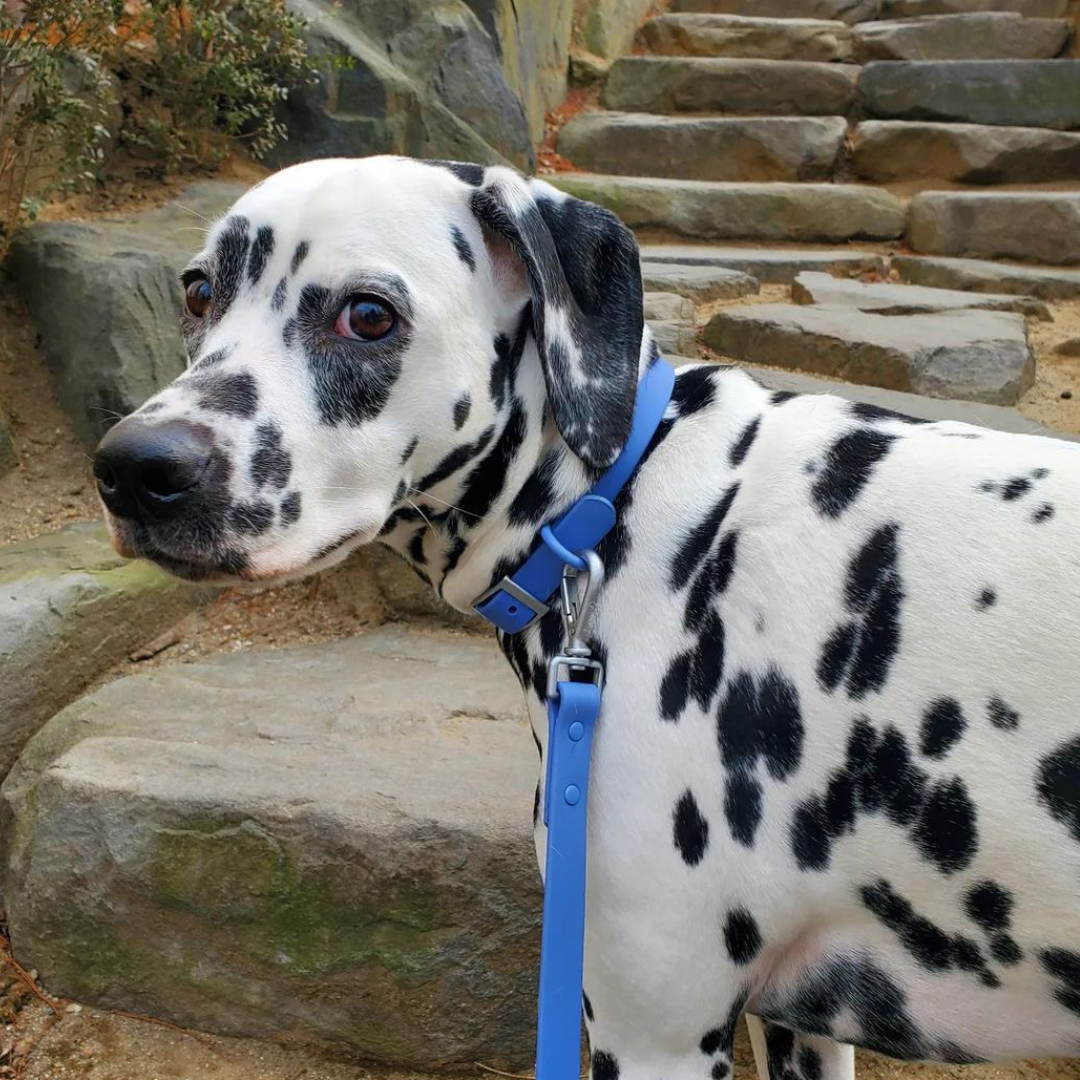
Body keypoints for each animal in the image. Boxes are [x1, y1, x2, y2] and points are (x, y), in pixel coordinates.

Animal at [95, 156, 1080, 1080]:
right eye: (199, 290)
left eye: (367, 316)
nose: (134, 467)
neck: (627, 501)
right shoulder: (800, 1025)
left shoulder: (657, 1033)